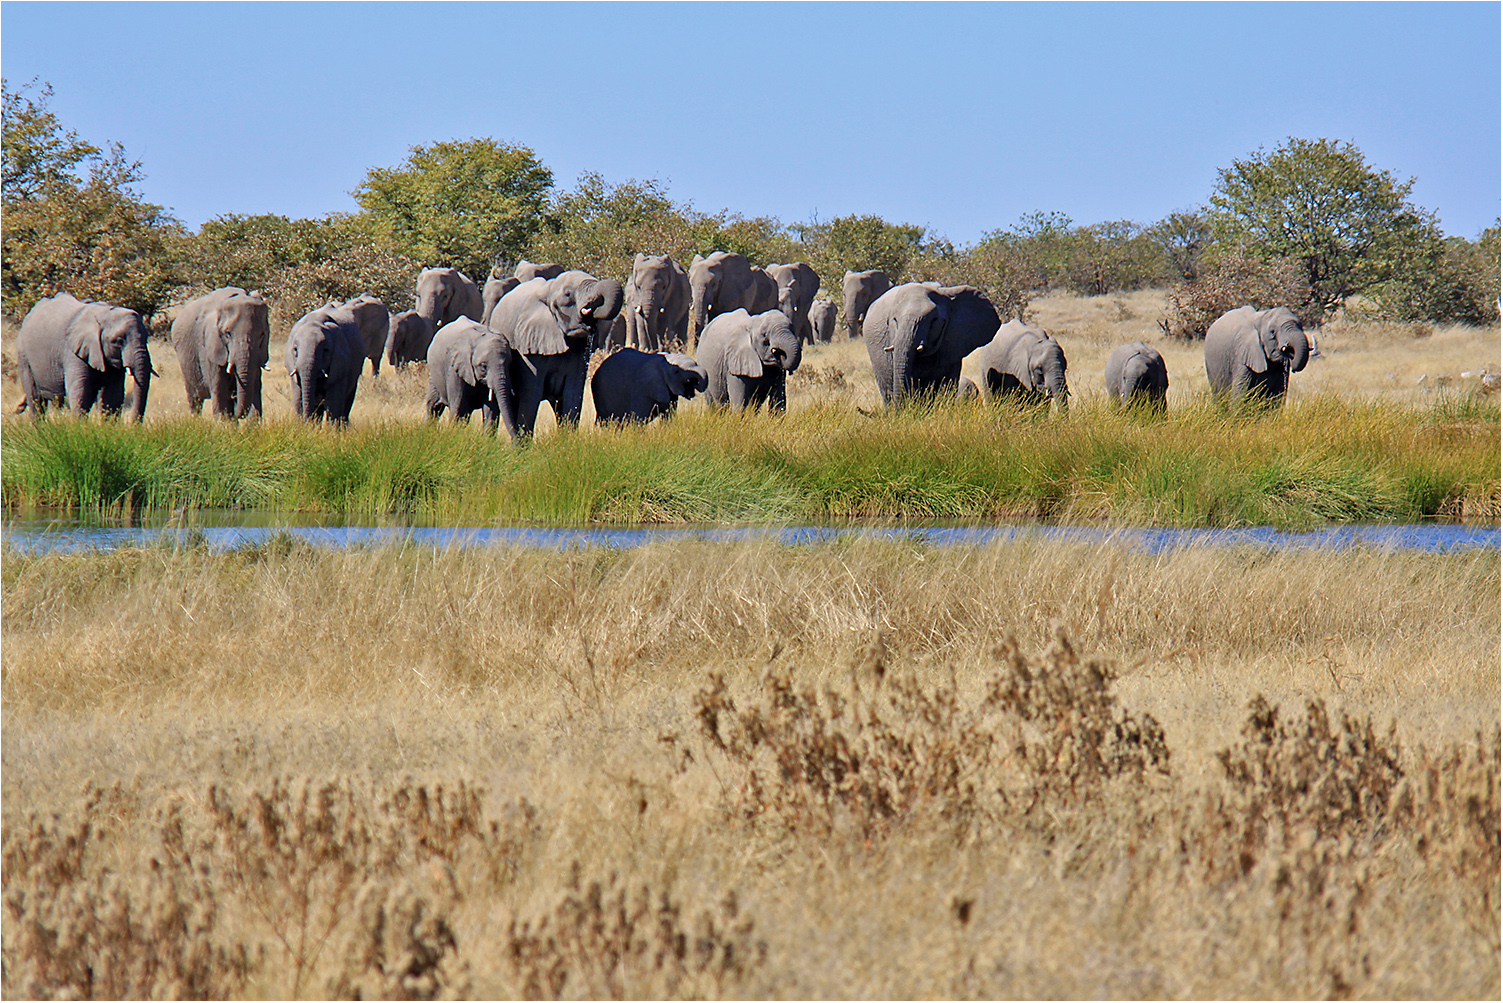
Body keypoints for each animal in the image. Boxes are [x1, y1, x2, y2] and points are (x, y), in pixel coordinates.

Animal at [16, 290, 154, 421]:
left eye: (147, 339)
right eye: (118, 341)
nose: (133, 424)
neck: (104, 314)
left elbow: (112, 396)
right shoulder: (73, 351)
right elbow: (80, 392)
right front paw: (80, 427)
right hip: (23, 354)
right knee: (35, 398)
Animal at [172, 285, 270, 421]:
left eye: (262, 334)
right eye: (227, 334)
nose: (234, 395)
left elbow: (255, 387)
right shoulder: (211, 347)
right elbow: (220, 390)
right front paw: (224, 424)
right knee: (195, 399)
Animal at [489, 269, 625, 436]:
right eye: (567, 294)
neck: (549, 289)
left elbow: (573, 392)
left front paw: (567, 439)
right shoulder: (529, 346)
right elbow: (531, 392)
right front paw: (524, 443)